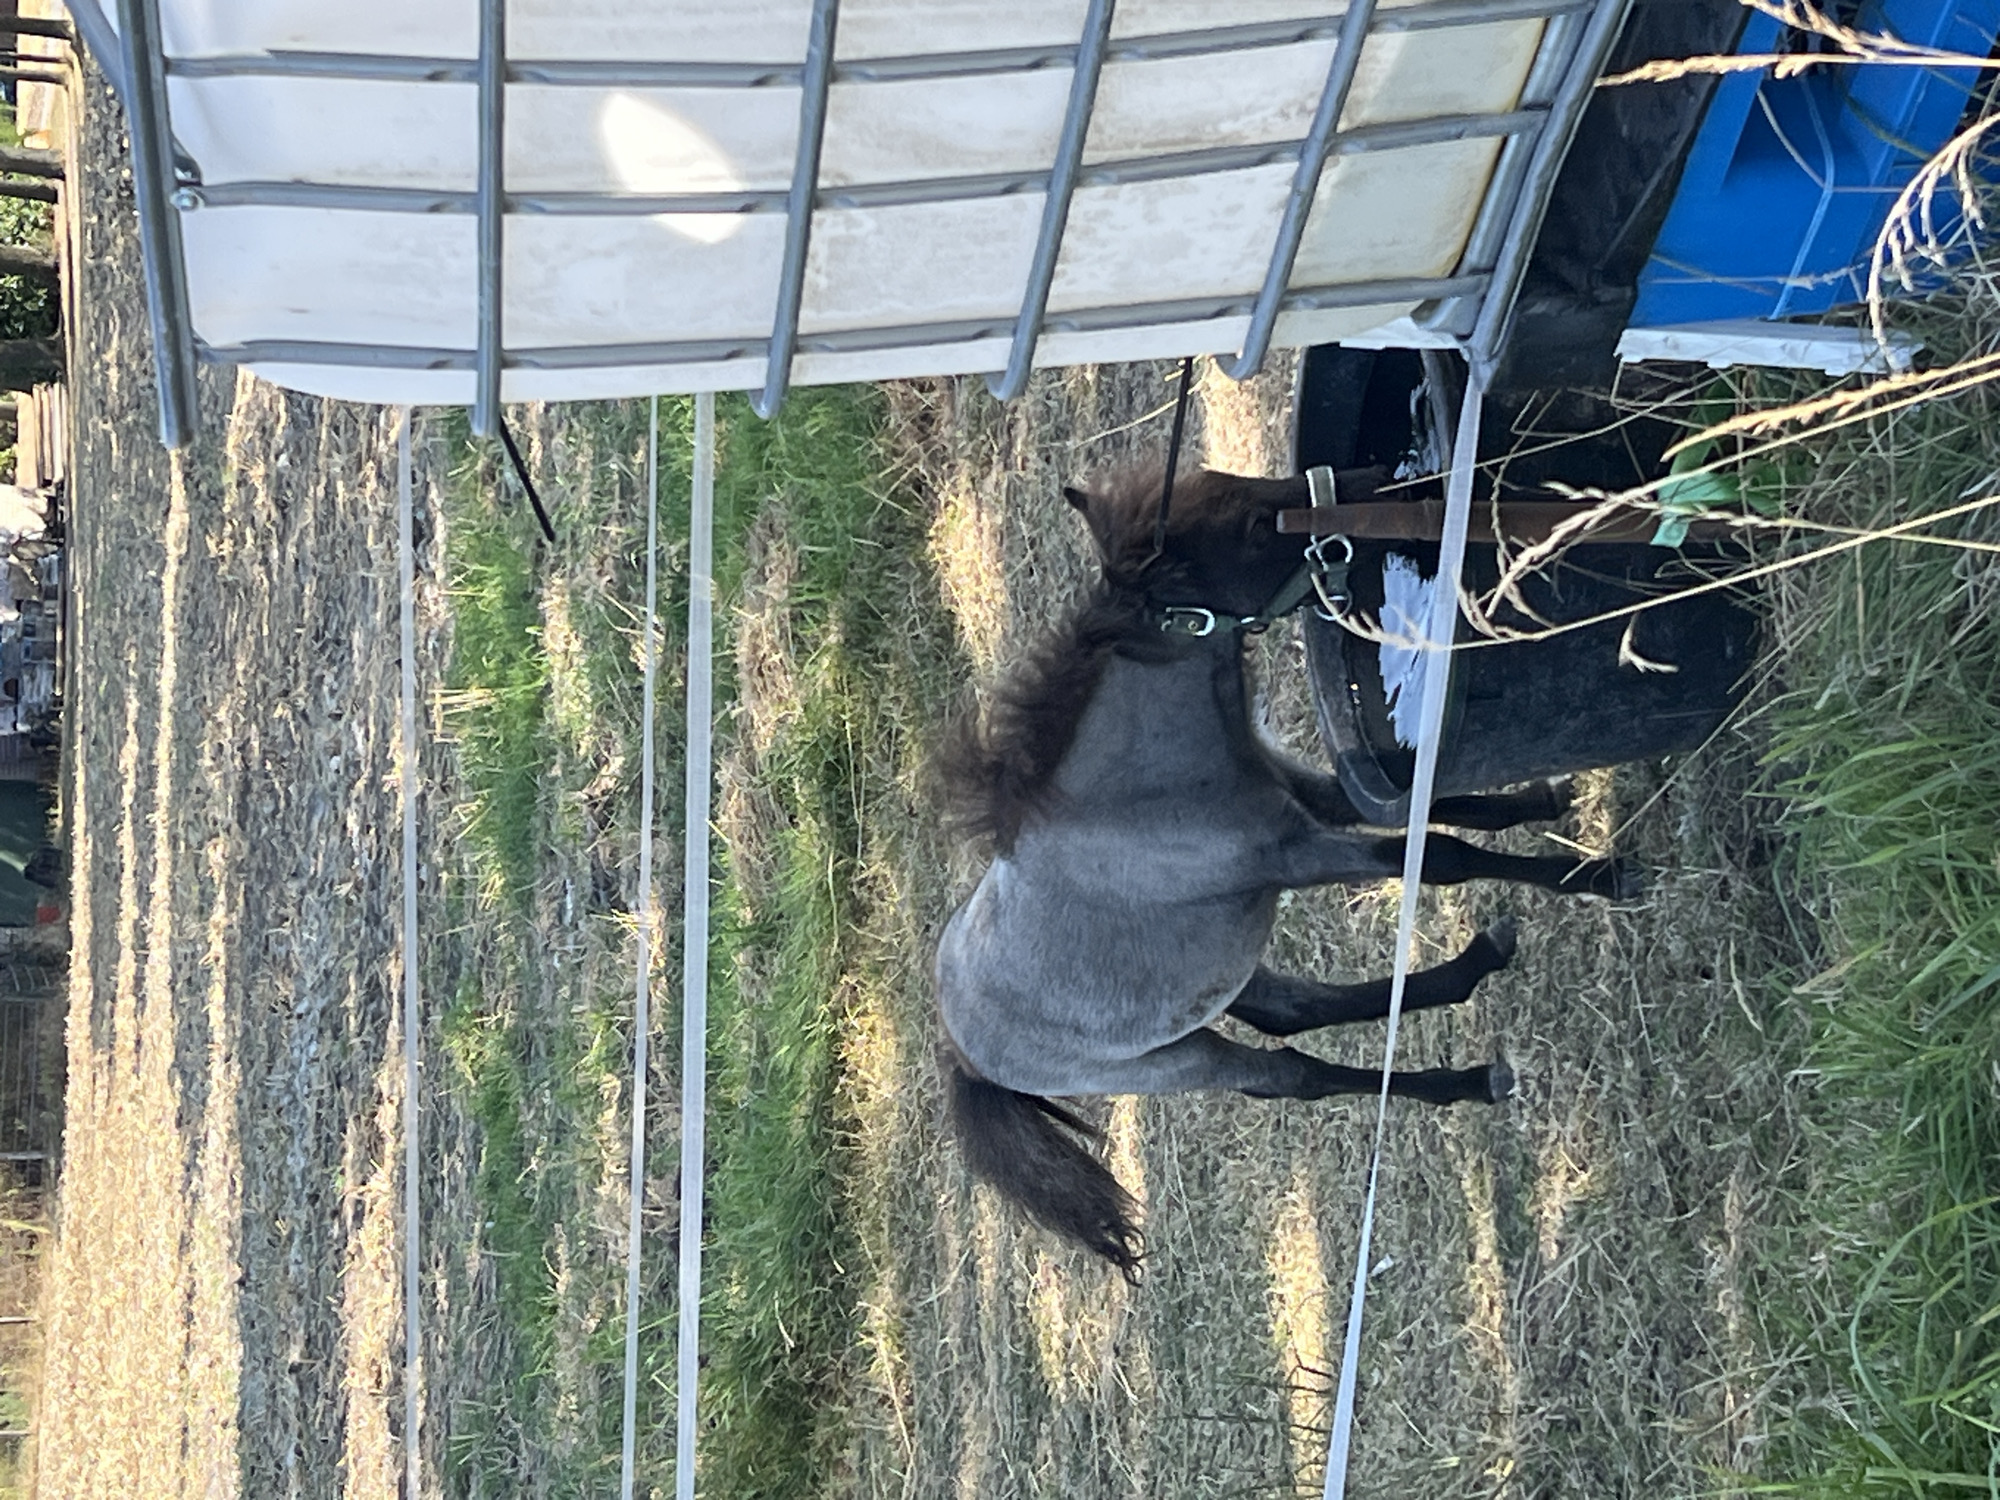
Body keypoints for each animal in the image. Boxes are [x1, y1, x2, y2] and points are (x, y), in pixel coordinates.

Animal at [934, 464, 1639, 1280]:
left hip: (1211, 985)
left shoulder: (1306, 796)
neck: (1129, 797)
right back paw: (1465, 1076)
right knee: (1291, 1074)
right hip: (1176, 1060)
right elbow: (1441, 855)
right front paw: (1597, 875)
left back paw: (1476, 972)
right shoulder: (1297, 853)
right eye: (1246, 529)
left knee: (1296, 1009)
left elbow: (1431, 804)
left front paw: (1544, 800)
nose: (1375, 485)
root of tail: (962, 1051)